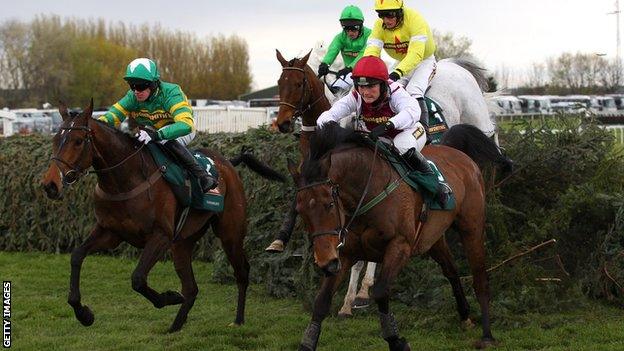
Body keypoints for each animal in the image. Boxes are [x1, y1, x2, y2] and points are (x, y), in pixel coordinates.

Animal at [42, 101, 286, 332]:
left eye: (78, 141)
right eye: (55, 139)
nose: (50, 185)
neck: (126, 180)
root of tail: (227, 163)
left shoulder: (160, 236)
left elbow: (138, 279)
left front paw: (169, 297)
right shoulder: (110, 233)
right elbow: (76, 256)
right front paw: (84, 314)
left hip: (230, 232)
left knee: (242, 272)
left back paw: (238, 320)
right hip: (182, 243)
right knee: (191, 288)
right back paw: (175, 326)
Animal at [270, 48, 502, 320]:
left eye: (298, 84)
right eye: (279, 83)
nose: (283, 123)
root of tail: (453, 64)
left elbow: (366, 255)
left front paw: (358, 294)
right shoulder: (311, 176)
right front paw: (279, 240)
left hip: (476, 118)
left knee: (493, 137)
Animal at [290, 122, 510, 350]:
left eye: (329, 204)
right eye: (299, 210)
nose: (325, 262)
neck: (368, 187)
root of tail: (456, 152)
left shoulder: (399, 246)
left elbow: (380, 291)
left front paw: (396, 340)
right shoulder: (345, 253)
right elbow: (321, 301)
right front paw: (308, 342)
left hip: (472, 228)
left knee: (480, 278)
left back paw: (487, 335)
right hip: (433, 239)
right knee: (451, 271)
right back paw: (465, 314)